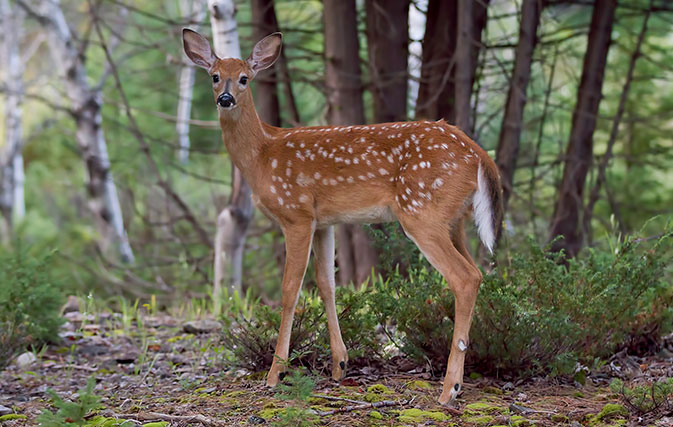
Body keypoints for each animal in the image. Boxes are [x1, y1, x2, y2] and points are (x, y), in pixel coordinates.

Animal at [181, 27, 502, 404]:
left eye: (245, 78)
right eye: (215, 76)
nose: (226, 99)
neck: (262, 155)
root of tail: (479, 153)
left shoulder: (296, 213)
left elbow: (290, 289)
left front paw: (276, 372)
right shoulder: (324, 222)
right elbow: (327, 284)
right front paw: (340, 365)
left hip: (421, 212)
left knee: (464, 277)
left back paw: (449, 388)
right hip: (455, 220)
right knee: (477, 272)